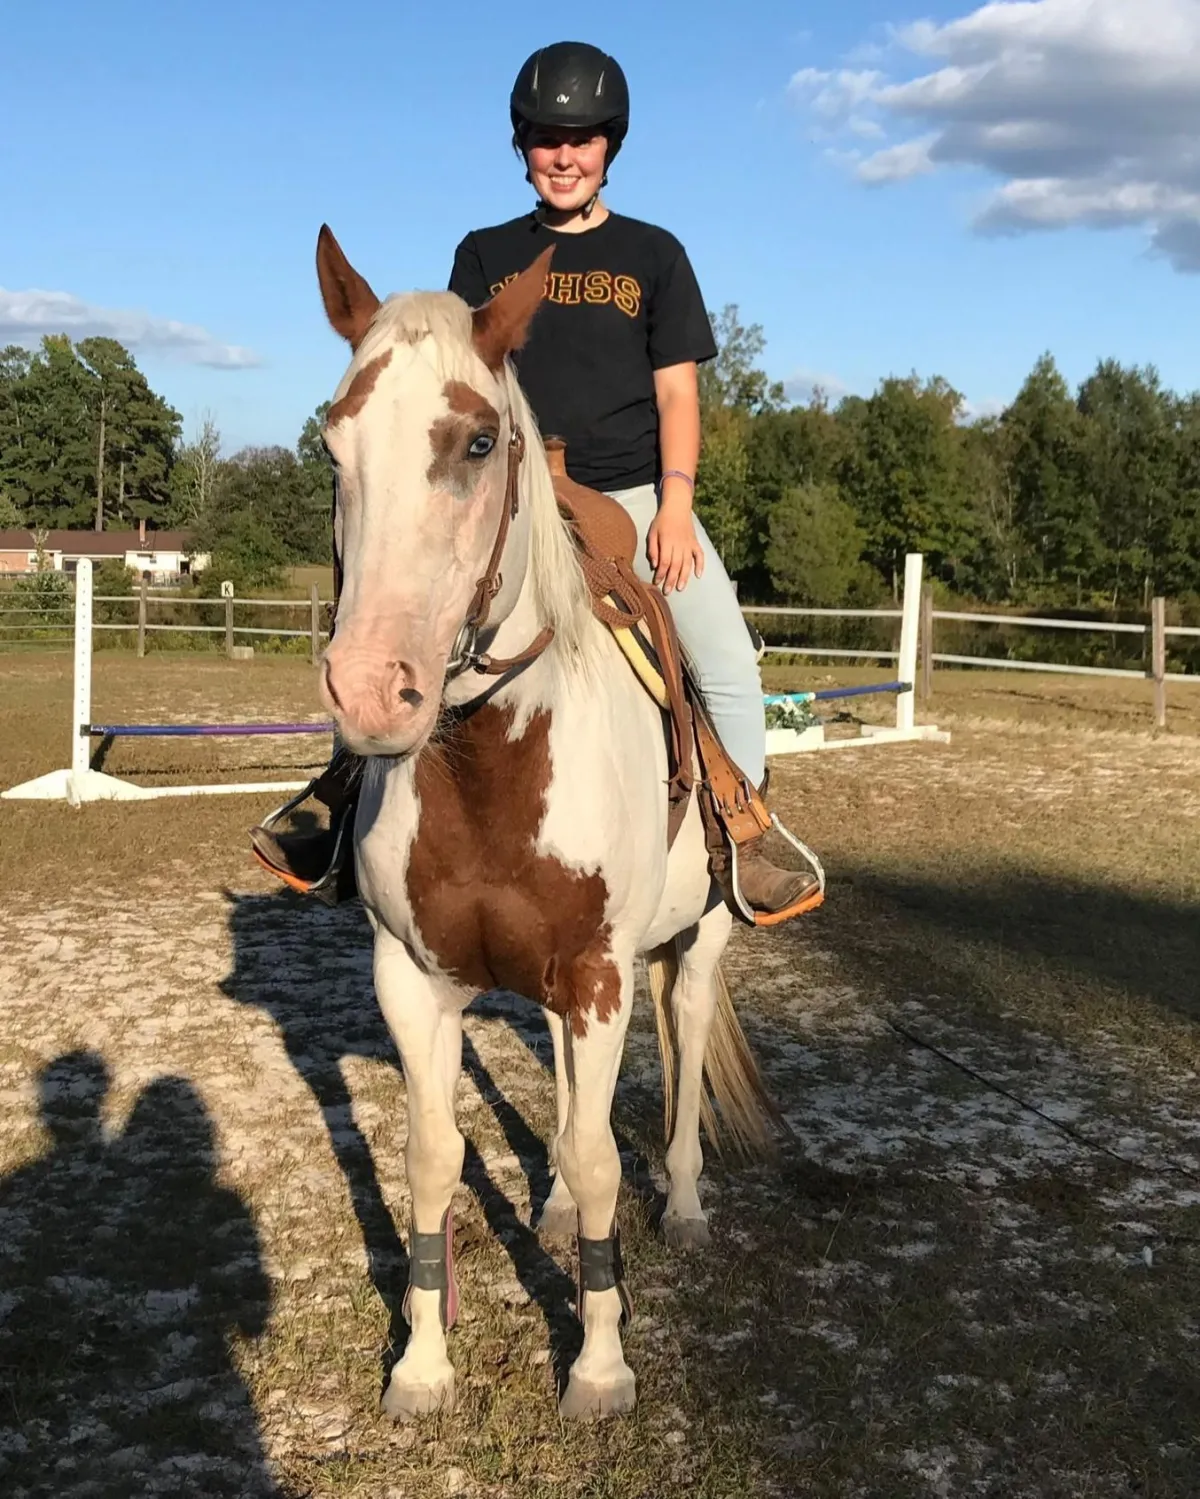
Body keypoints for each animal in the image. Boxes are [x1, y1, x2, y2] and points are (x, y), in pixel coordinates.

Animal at [311, 221, 779, 1415]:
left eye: (478, 442)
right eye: (333, 447)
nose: (372, 690)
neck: (496, 766)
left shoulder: (604, 973)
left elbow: (606, 1153)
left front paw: (602, 1364)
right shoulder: (413, 976)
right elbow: (434, 1156)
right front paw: (421, 1364)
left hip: (695, 942)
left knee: (681, 1049)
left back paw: (686, 1203)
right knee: (570, 1110)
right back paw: (560, 1214)